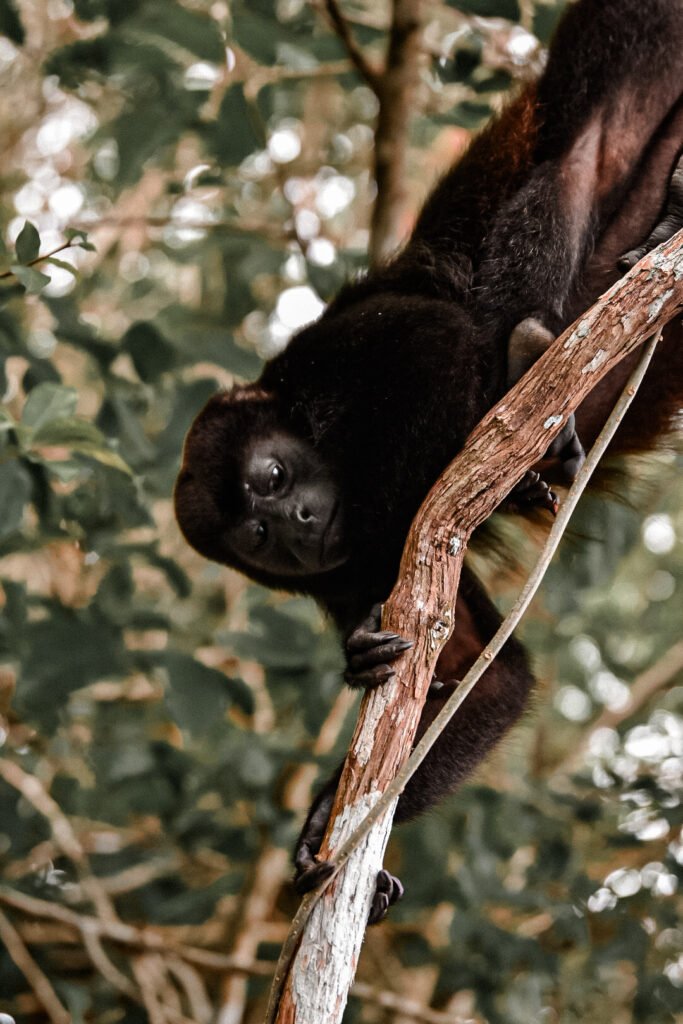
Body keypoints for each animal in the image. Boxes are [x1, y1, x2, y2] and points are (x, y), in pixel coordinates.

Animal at [175, 0, 683, 925]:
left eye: (271, 480)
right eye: (256, 538)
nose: (298, 524)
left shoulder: (329, 355)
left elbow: (436, 337)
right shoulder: (344, 574)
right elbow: (492, 678)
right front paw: (322, 826)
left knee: (576, 146)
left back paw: (533, 354)